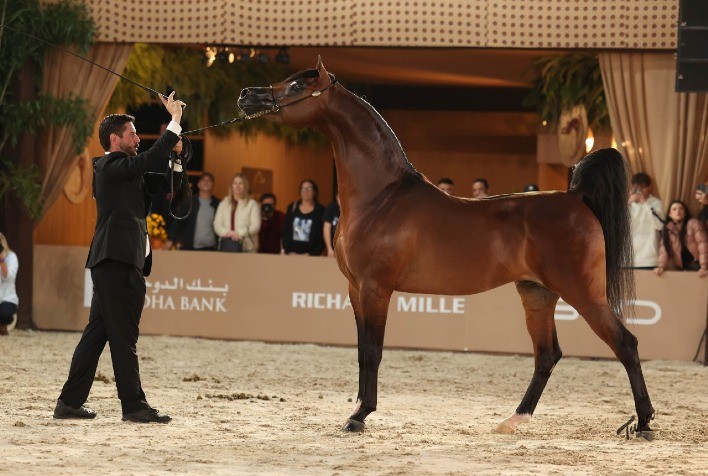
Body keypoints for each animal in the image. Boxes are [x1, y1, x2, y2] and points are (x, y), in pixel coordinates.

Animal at [237, 58, 655, 438]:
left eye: (296, 86)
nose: (245, 95)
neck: (381, 197)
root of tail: (576, 197)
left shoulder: (375, 289)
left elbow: (373, 350)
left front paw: (360, 416)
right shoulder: (354, 289)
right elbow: (360, 350)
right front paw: (357, 408)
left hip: (583, 293)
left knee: (626, 344)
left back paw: (645, 423)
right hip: (537, 294)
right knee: (547, 354)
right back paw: (514, 419)